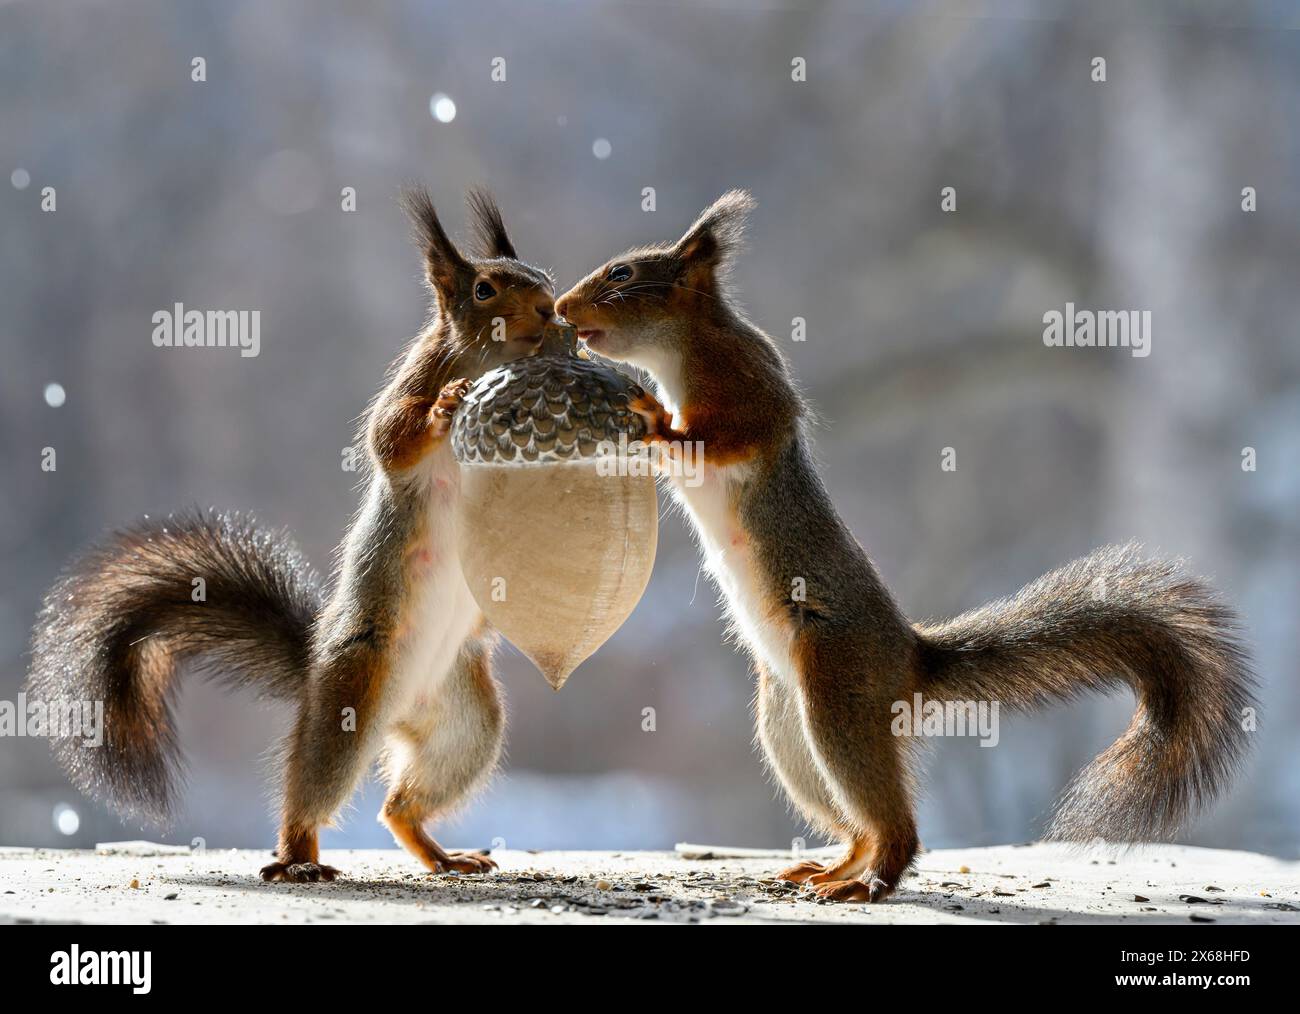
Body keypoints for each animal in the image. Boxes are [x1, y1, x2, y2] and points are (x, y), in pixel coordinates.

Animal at [25, 185, 553, 883]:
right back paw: (299, 856)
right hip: (354, 688)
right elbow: (392, 438)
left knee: (403, 805)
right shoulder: (413, 383)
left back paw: (440, 854)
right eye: (485, 290)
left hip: (466, 720)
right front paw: (448, 406)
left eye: (543, 276)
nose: (550, 308)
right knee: (317, 782)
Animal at [553, 189, 1253, 904]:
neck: (686, 347)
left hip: (837, 692)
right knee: (856, 820)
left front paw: (650, 415)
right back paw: (834, 867)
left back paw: (866, 882)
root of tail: (908, 660)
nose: (561, 309)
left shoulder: (750, 388)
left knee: (894, 824)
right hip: (786, 722)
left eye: (622, 275)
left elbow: (718, 437)